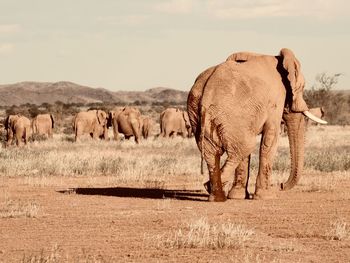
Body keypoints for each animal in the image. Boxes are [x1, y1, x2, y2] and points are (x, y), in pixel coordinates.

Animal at [187, 48, 326, 203]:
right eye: (302, 87)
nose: (281, 185)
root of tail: (207, 91)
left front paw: (238, 197)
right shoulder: (275, 100)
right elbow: (271, 138)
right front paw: (266, 196)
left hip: (198, 112)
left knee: (213, 153)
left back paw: (215, 195)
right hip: (231, 112)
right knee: (244, 147)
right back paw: (212, 189)